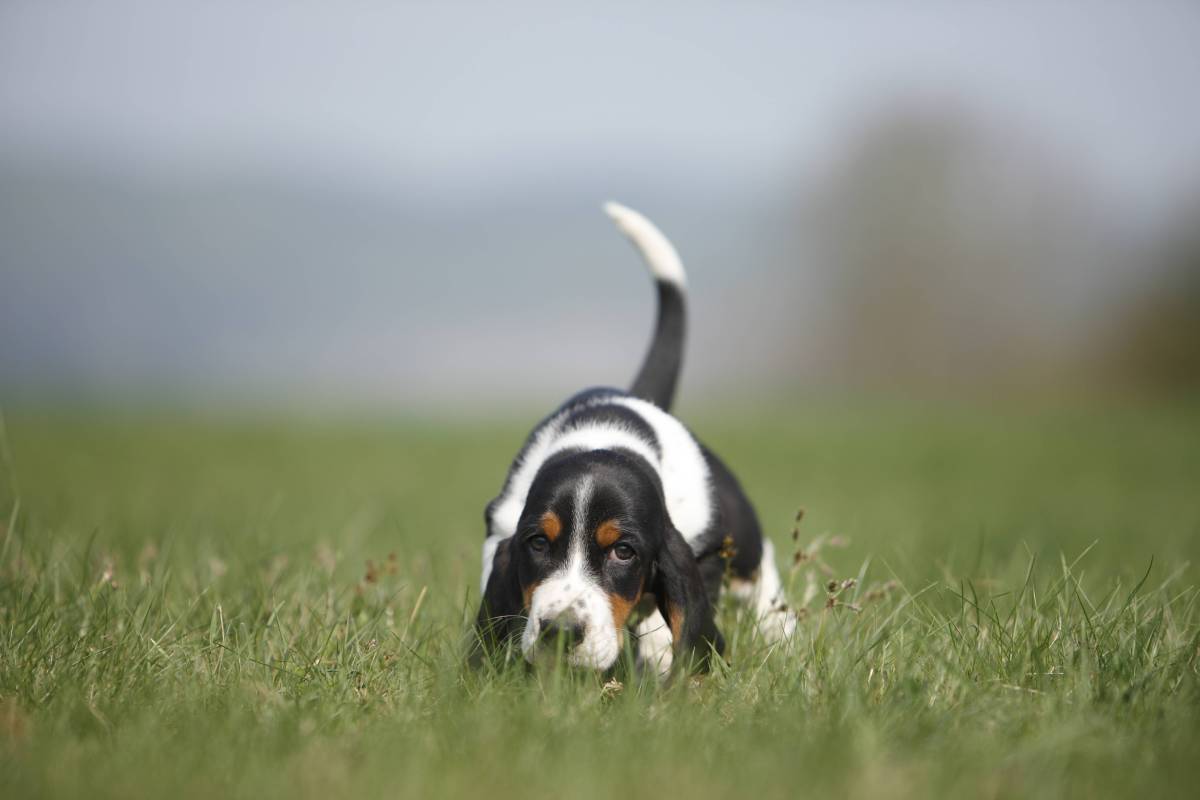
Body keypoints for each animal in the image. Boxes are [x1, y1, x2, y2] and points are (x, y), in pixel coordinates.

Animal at [470, 203, 796, 671]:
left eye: (623, 552)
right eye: (538, 543)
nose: (561, 633)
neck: (604, 435)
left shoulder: (703, 554)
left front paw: (658, 661)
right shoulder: (501, 528)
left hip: (747, 552)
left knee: (764, 586)